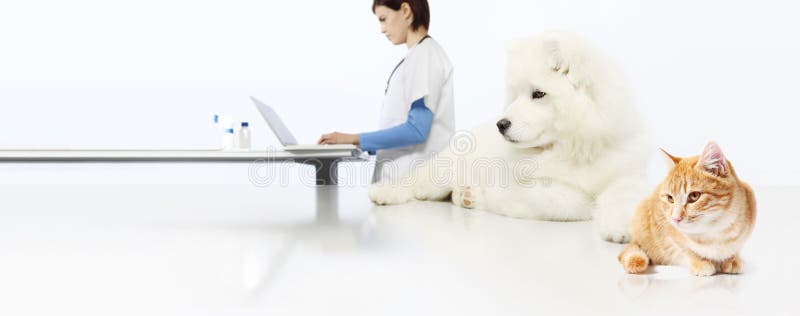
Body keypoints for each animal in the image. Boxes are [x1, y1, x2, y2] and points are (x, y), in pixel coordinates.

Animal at [368, 31, 648, 242]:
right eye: (516, 94)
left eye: (538, 94)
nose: (500, 124)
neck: (569, 148)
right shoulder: (529, 187)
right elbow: (567, 199)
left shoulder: (626, 175)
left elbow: (624, 196)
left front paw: (621, 227)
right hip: (444, 171)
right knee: (417, 181)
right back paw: (385, 192)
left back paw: (466, 196)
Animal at [620, 142, 756, 276]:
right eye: (670, 198)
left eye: (694, 196)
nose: (675, 218)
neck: (715, 228)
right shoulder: (666, 227)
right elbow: (686, 250)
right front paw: (700, 262)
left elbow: (734, 249)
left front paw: (731, 259)